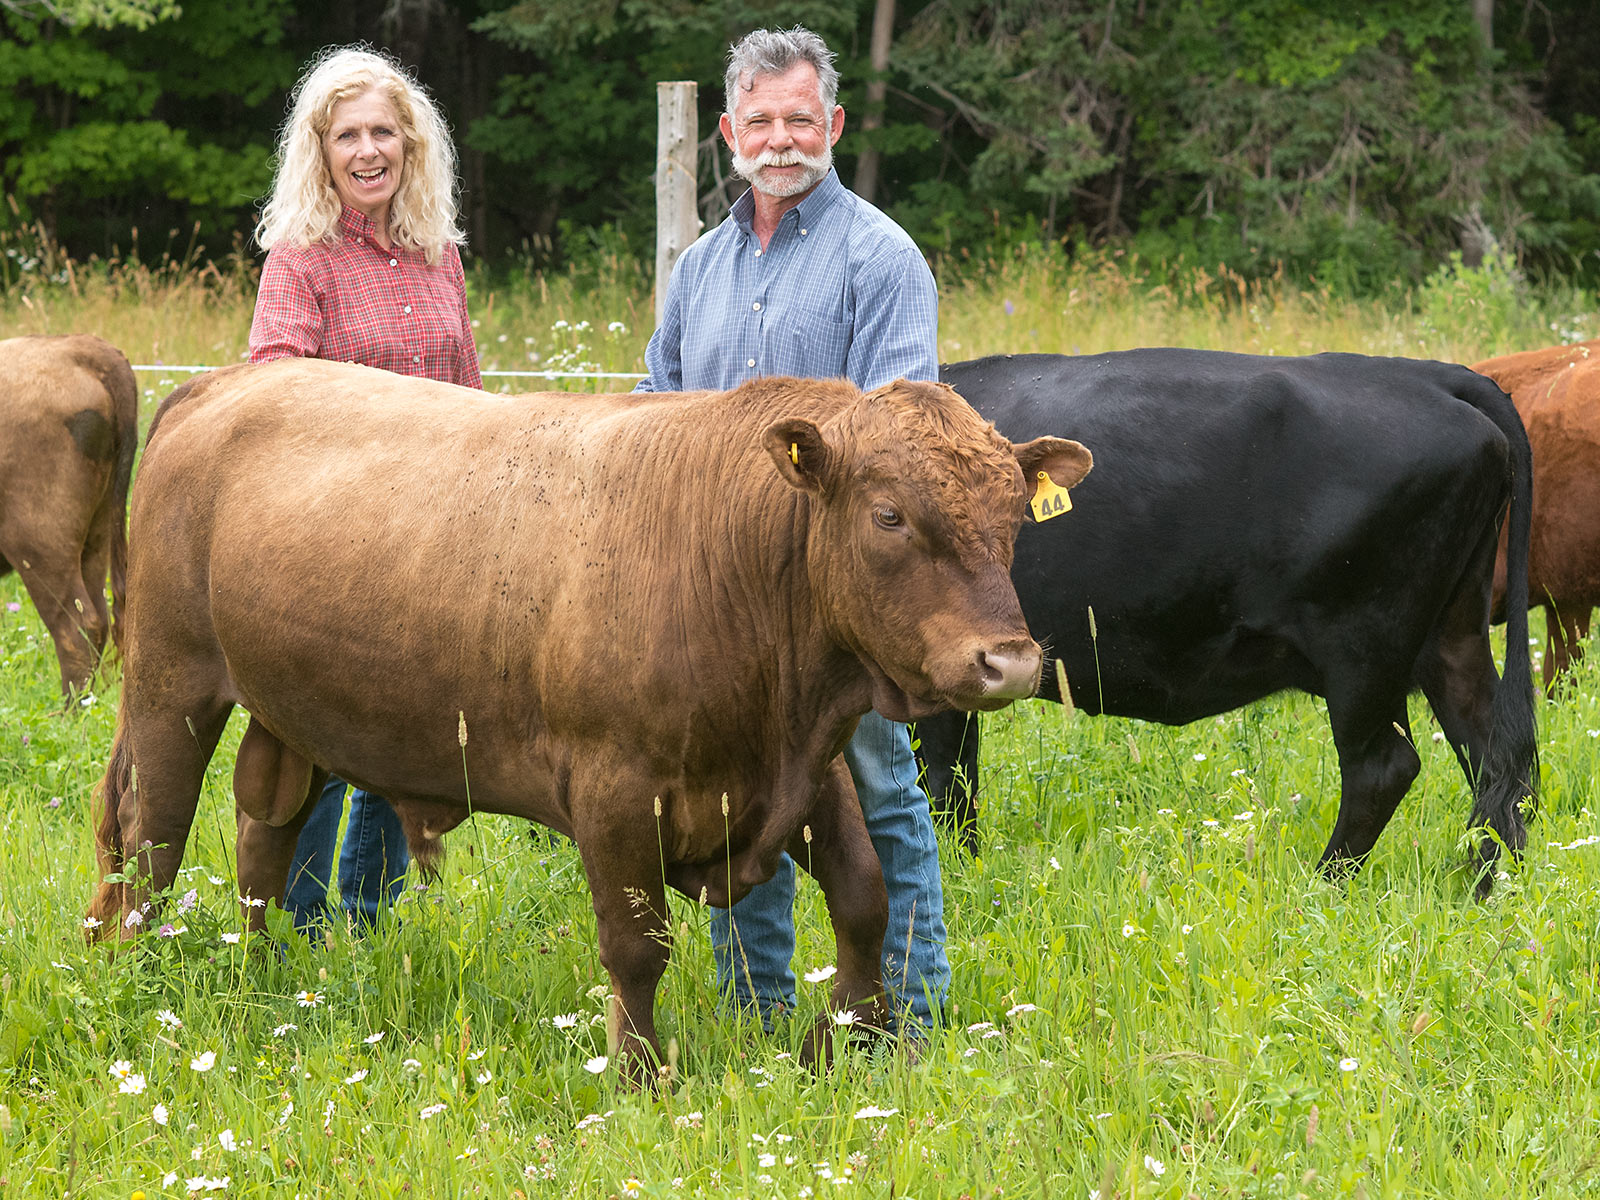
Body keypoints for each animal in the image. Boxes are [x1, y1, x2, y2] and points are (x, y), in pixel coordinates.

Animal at [85, 357, 1091, 1077]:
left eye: (1014, 517)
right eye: (889, 516)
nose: (1006, 661)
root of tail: (224, 382)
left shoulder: (802, 769)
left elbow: (867, 898)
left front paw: (844, 1040)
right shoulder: (616, 793)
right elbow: (638, 947)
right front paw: (642, 1075)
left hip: (290, 711)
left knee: (265, 835)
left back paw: (258, 978)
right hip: (171, 686)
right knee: (153, 839)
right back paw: (143, 982)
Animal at [914, 350, 1537, 895]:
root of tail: (1428, 374)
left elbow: (941, 781)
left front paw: (956, 879)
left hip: (1363, 649)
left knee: (1384, 768)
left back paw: (1322, 887)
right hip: (1451, 637)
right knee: (1497, 758)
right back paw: (1489, 886)